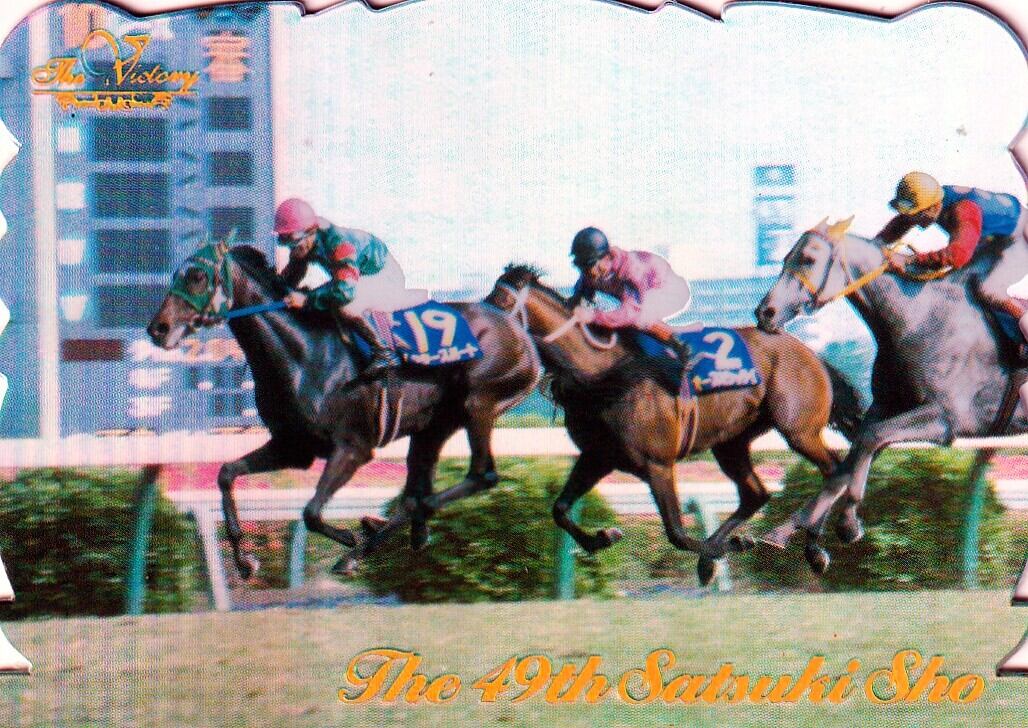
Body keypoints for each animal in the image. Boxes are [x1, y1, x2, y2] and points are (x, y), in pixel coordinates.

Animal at [147, 240, 541, 577]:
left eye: (197, 276)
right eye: (177, 273)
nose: (157, 329)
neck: (304, 354)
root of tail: (511, 322)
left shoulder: (353, 447)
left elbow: (310, 512)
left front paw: (349, 539)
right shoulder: (294, 446)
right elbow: (226, 473)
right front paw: (245, 561)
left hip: (480, 404)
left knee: (479, 477)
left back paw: (364, 546)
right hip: (434, 427)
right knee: (419, 490)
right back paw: (401, 532)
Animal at [486, 264, 863, 583]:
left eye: (502, 301)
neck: (602, 375)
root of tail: (811, 353)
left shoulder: (658, 463)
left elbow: (677, 533)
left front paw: (728, 546)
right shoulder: (598, 456)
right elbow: (560, 509)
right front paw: (602, 538)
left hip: (798, 430)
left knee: (833, 470)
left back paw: (815, 549)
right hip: (730, 442)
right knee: (756, 493)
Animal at [755, 217, 1027, 570]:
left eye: (808, 259)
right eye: (786, 257)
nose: (765, 312)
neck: (918, 318)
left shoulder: (946, 419)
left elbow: (872, 439)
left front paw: (848, 524)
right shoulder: (885, 408)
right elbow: (849, 460)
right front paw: (797, 536)